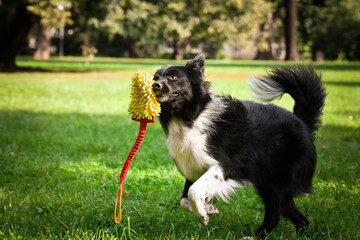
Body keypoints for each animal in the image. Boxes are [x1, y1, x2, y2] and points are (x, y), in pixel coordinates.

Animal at [152, 54, 326, 238]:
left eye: (173, 77)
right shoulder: (194, 167)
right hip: (268, 184)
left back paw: (255, 237)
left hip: (277, 185)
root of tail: (303, 122)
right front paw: (208, 208)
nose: (155, 85)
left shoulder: (227, 166)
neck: (192, 116)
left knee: (275, 214)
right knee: (297, 218)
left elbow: (193, 191)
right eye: (156, 78)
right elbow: (185, 200)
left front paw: (203, 214)